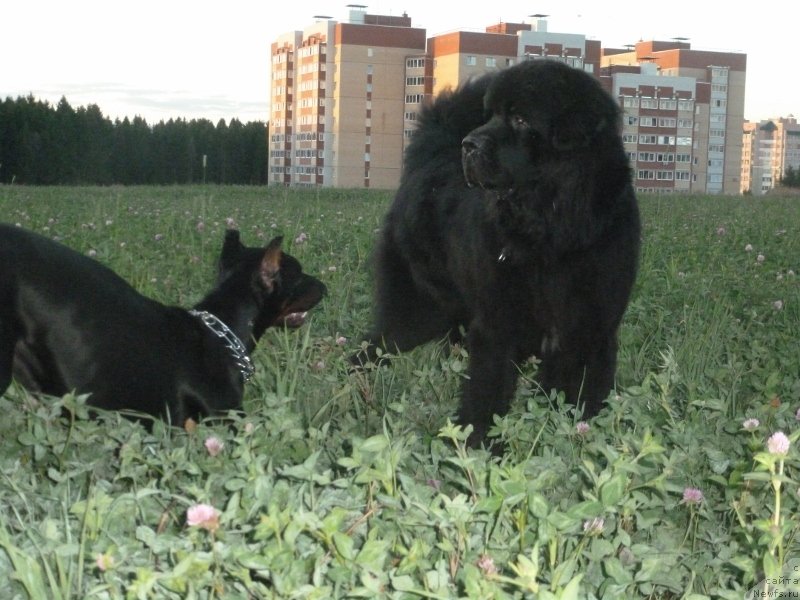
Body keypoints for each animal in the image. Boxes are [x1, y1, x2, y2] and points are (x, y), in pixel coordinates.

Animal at [354, 59, 640, 446]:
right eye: (489, 116)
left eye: (520, 119)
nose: (469, 144)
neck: (552, 229)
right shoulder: (499, 323)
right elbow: (487, 391)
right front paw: (479, 445)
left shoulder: (590, 327)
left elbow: (580, 394)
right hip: (419, 311)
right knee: (374, 343)